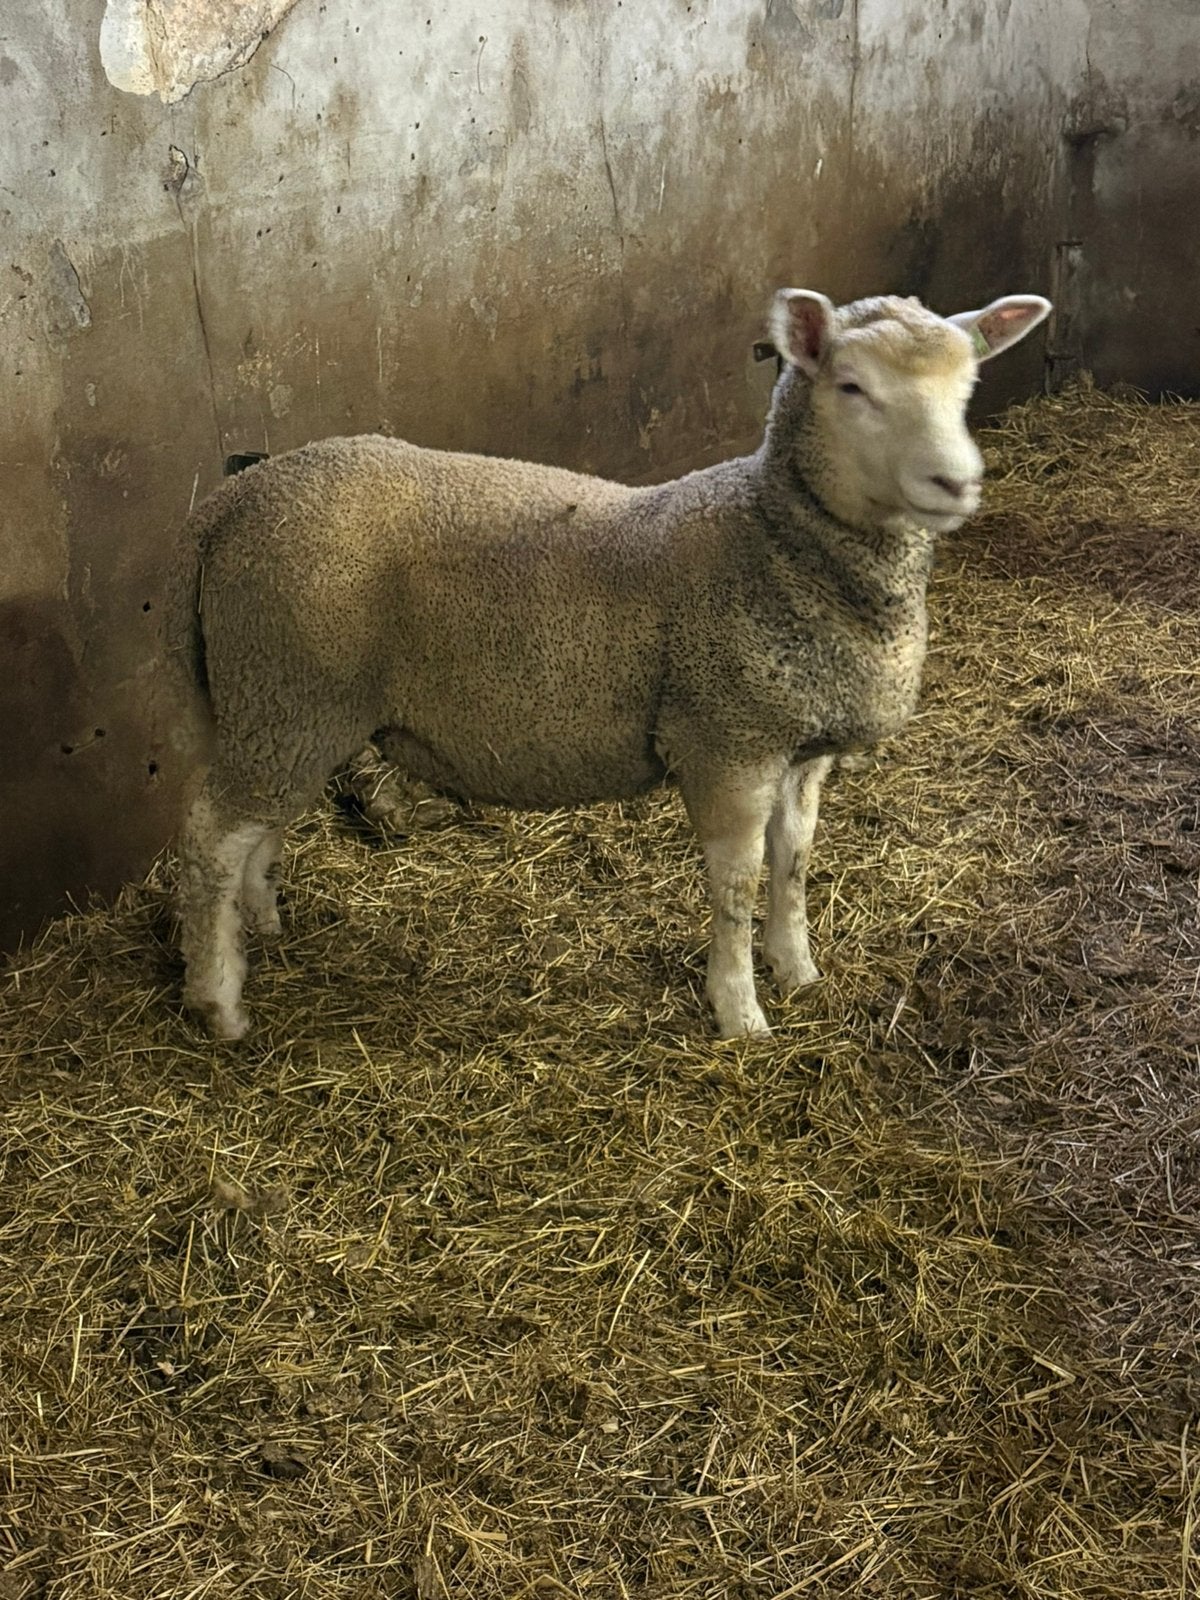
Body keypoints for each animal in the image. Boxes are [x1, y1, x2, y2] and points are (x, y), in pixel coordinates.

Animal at [167, 287, 1050, 1042]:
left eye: (969, 385)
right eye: (853, 387)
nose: (957, 482)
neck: (771, 542)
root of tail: (226, 508)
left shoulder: (799, 746)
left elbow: (794, 862)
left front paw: (797, 970)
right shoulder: (725, 741)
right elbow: (735, 884)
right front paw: (740, 1012)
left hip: (287, 704)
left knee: (258, 826)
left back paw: (261, 925)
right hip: (285, 686)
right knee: (211, 835)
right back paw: (219, 999)